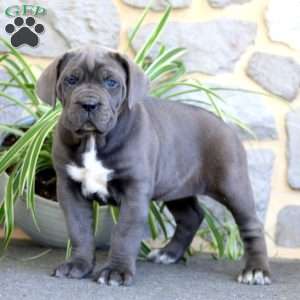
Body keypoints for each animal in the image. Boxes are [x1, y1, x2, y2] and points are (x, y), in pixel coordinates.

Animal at [36, 46, 270, 286]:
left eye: (111, 82)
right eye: (71, 80)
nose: (89, 104)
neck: (93, 140)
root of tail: (226, 125)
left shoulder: (134, 191)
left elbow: (124, 232)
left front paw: (116, 271)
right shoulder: (69, 189)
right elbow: (79, 230)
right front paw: (78, 265)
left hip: (232, 185)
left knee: (251, 225)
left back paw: (256, 270)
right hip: (176, 188)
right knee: (191, 217)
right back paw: (169, 253)